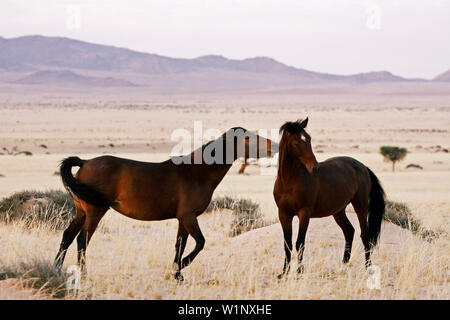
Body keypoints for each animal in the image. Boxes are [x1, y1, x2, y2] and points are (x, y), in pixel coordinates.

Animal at [55, 127, 276, 280]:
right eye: (247, 138)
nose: (273, 146)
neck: (197, 172)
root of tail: (85, 162)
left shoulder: (183, 219)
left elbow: (180, 245)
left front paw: (177, 274)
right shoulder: (188, 217)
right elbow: (200, 242)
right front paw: (182, 266)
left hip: (81, 212)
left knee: (67, 236)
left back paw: (56, 269)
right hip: (95, 212)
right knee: (82, 240)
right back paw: (84, 274)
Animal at [272, 117, 384, 278]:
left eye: (309, 139)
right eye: (296, 143)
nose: (314, 167)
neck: (289, 181)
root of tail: (362, 167)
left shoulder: (304, 213)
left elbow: (300, 242)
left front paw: (299, 272)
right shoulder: (284, 214)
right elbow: (287, 244)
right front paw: (284, 273)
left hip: (360, 206)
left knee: (365, 235)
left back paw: (368, 267)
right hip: (338, 211)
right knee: (349, 231)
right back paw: (343, 265)